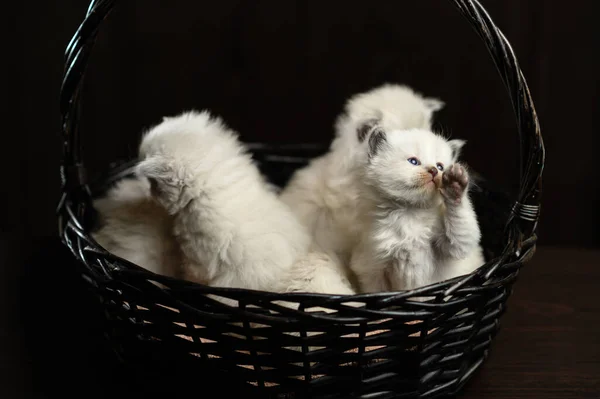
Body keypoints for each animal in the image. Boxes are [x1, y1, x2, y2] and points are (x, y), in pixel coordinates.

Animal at [350, 128, 486, 294]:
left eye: (440, 166)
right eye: (413, 162)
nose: (434, 171)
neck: (411, 212)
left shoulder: (454, 247)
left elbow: (461, 233)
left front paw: (455, 185)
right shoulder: (371, 266)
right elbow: (375, 290)